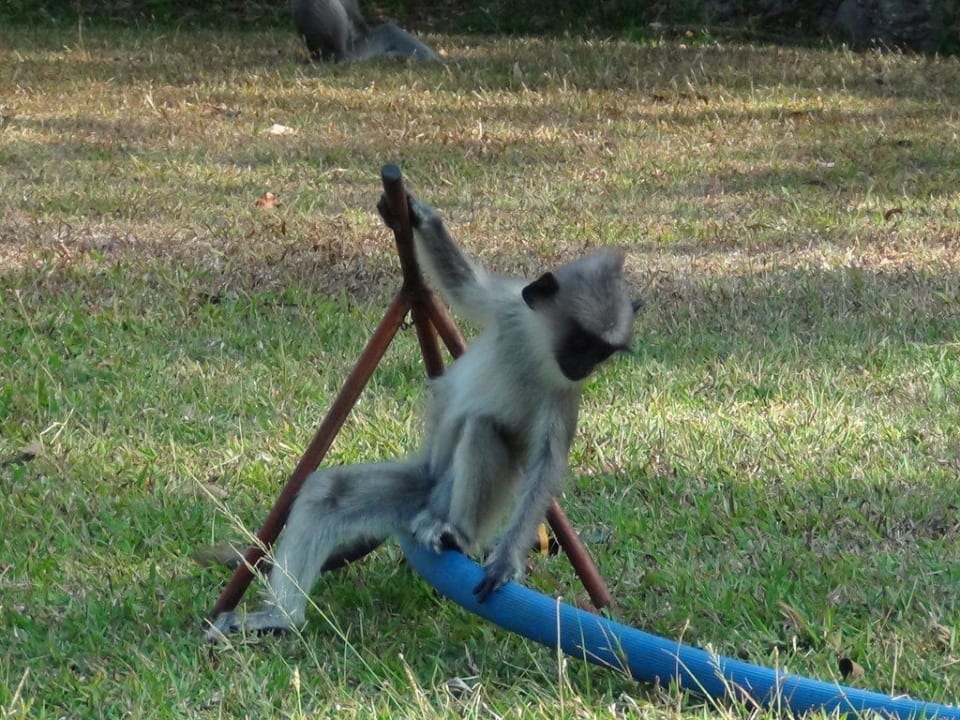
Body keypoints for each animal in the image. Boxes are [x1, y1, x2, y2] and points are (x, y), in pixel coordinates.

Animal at [207, 192, 640, 637]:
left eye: (600, 352)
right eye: (581, 343)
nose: (584, 367)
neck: (537, 349)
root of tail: (433, 498)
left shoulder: (562, 392)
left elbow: (547, 464)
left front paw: (505, 561)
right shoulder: (510, 307)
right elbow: (462, 286)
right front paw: (414, 212)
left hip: (455, 499)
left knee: (483, 430)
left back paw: (457, 536)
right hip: (424, 484)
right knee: (328, 494)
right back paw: (281, 618)